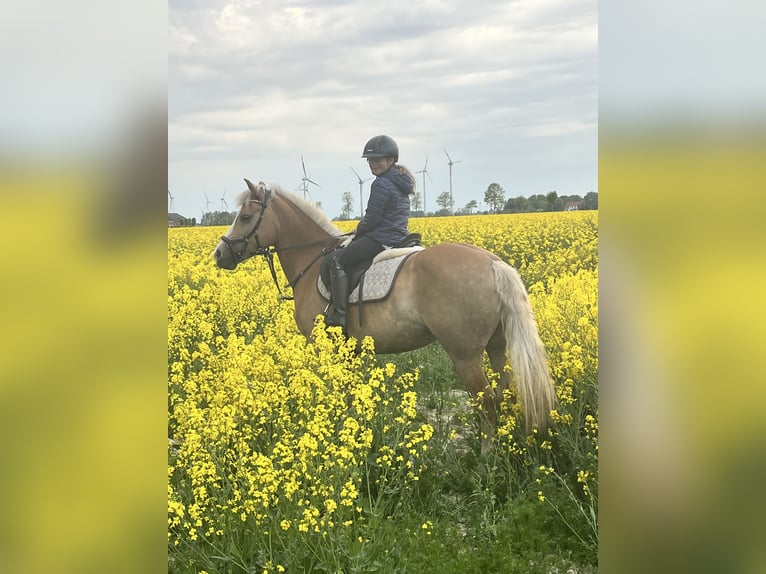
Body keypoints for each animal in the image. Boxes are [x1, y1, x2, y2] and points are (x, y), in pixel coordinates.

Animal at [213, 179, 556, 446]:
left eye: (245, 217)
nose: (219, 255)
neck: (312, 260)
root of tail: (493, 263)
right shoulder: (348, 351)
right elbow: (348, 395)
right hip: (497, 347)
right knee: (505, 394)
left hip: (465, 354)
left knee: (486, 400)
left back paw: (487, 459)